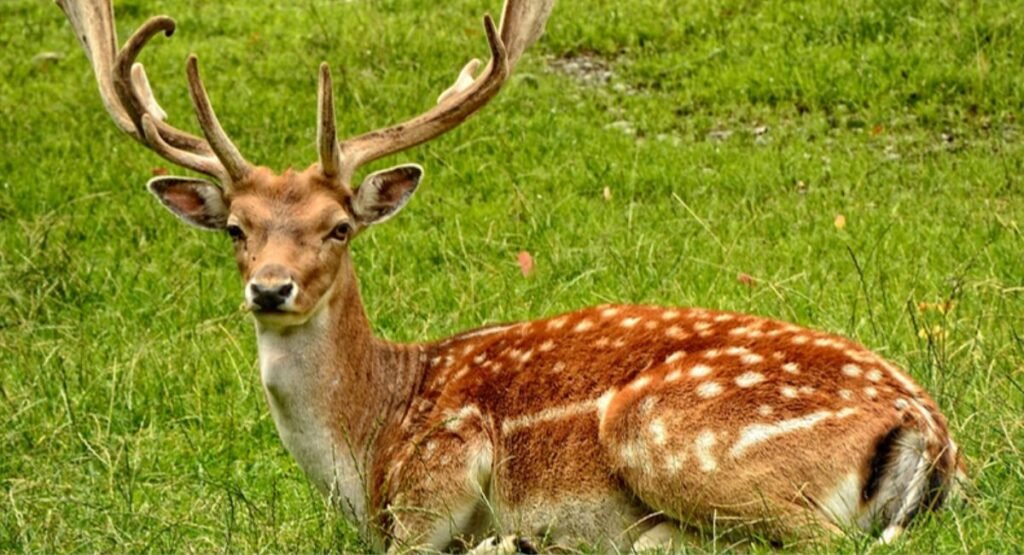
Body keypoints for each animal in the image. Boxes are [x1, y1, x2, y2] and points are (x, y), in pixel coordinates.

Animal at [56, 0, 965, 552]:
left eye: (338, 227)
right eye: (237, 230)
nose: (271, 287)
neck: (368, 436)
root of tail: (932, 432)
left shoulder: (439, 468)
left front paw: (505, 534)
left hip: (668, 432)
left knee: (814, 540)